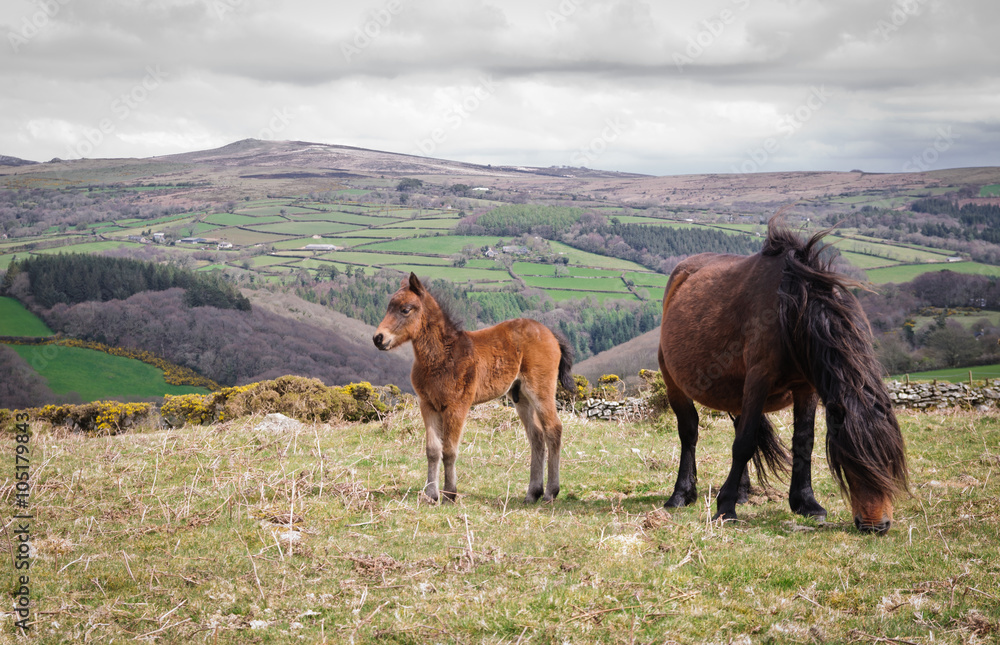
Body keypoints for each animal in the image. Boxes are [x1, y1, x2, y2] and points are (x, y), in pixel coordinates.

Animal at [373, 273, 575, 504]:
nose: (378, 338)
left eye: (405, 309)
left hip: (540, 390)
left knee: (553, 430)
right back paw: (532, 493)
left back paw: (551, 492)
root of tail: (550, 333)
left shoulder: (457, 406)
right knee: (537, 437)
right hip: (521, 397)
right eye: (389, 307)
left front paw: (450, 494)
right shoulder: (428, 405)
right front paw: (431, 495)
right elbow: (432, 450)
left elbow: (449, 450)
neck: (442, 356)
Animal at [657, 219, 908, 534]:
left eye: (891, 460)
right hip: (675, 384)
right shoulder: (758, 379)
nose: (877, 525)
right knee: (689, 432)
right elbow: (744, 443)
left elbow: (803, 441)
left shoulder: (806, 387)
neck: (791, 311)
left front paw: (806, 503)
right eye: (852, 459)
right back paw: (681, 494)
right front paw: (724, 508)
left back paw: (742, 492)